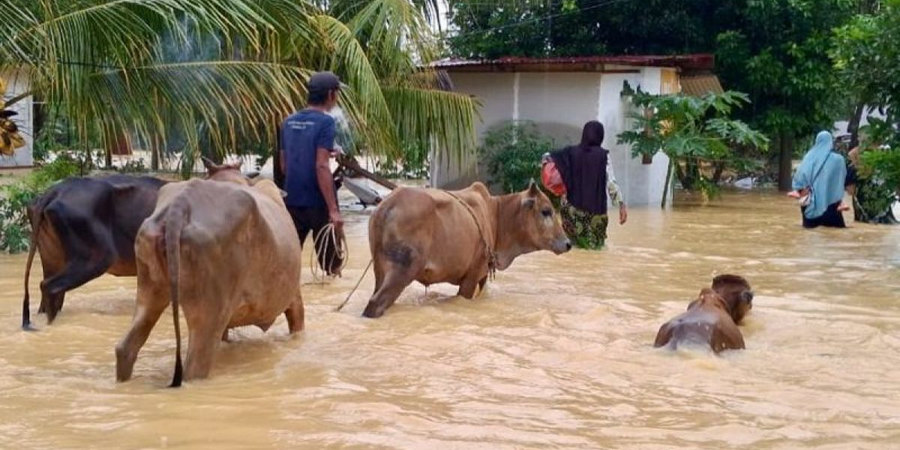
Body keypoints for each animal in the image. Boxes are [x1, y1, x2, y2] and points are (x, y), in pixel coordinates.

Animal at [115, 161, 303, 387]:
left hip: (149, 288)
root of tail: (181, 204)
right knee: (195, 364)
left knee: (125, 347)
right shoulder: (294, 295)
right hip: (211, 311)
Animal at [362, 181, 572, 318]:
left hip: (380, 271)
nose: (568, 243)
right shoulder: (471, 276)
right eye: (546, 211)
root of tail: (386, 206)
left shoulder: (482, 275)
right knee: (375, 303)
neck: (496, 215)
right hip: (402, 271)